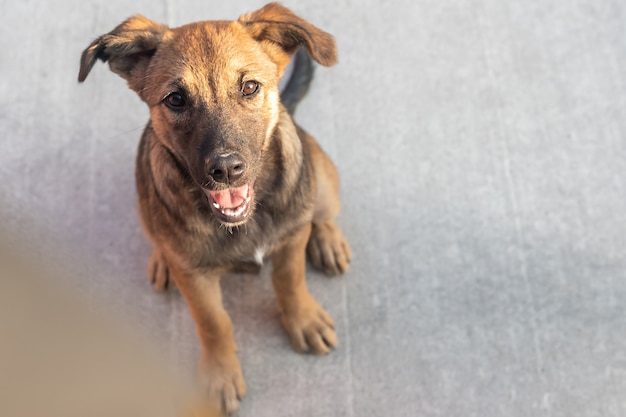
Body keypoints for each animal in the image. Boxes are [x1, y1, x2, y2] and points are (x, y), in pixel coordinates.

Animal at [77, 2, 348, 412]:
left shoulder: (289, 241)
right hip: (143, 205)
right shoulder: (196, 278)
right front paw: (221, 375)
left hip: (323, 178)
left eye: (249, 87)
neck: (244, 223)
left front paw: (303, 319)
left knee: (323, 214)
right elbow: (214, 323)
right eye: (175, 99)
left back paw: (329, 240)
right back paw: (162, 261)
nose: (226, 170)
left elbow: (290, 280)